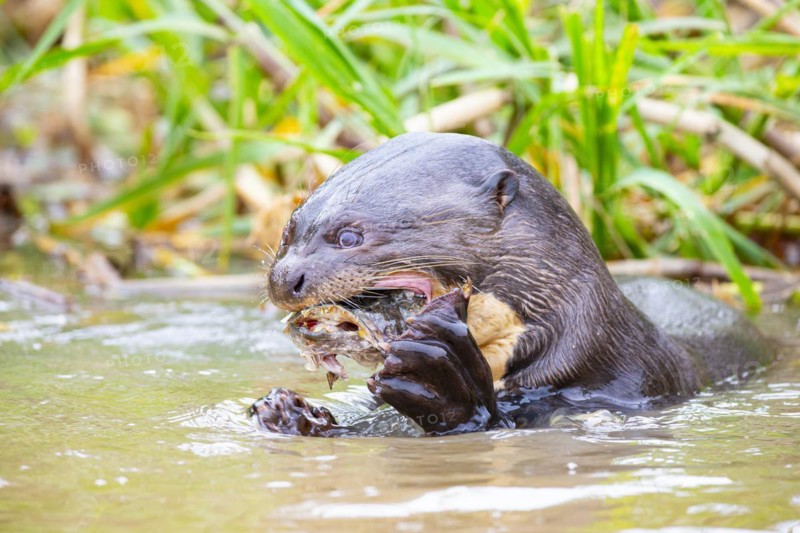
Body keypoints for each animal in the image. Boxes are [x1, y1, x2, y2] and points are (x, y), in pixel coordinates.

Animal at [251, 132, 772, 436]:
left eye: (349, 235)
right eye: (289, 229)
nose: (284, 277)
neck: (587, 341)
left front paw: (439, 378)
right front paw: (288, 412)